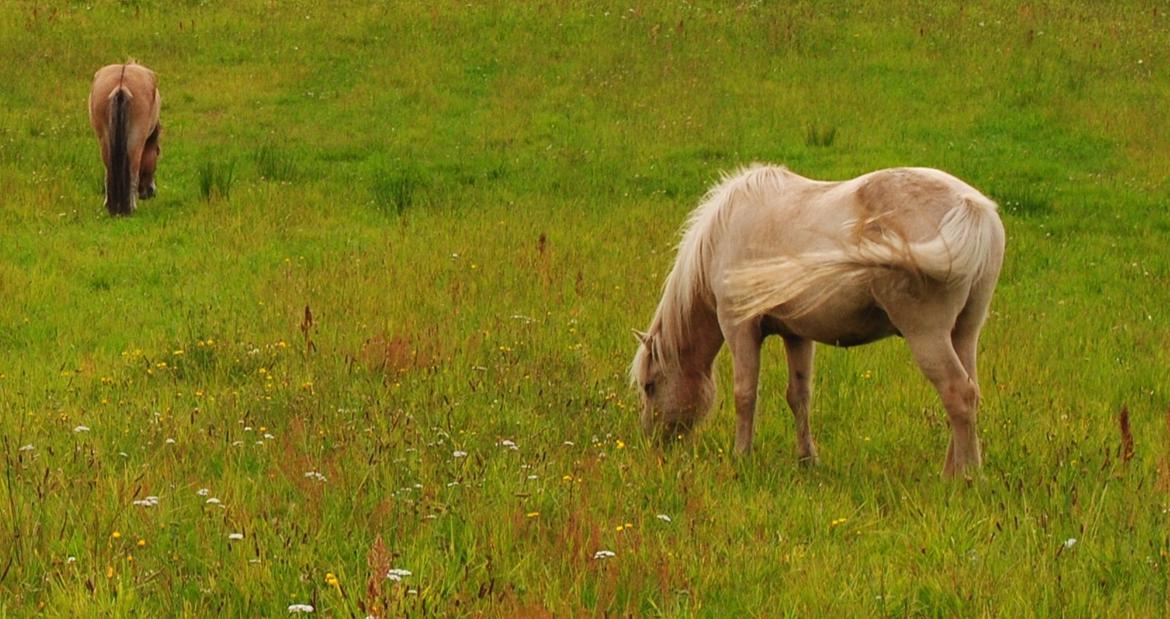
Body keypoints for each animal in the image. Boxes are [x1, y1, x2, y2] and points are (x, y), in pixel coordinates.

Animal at [88, 60, 161, 215]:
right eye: (157, 152)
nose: (151, 192)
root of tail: (121, 86)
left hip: (105, 141)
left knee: (108, 170)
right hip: (135, 142)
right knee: (133, 170)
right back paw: (131, 207)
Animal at [631, 163, 1006, 477]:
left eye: (650, 386)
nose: (652, 443)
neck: (726, 229)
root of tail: (972, 207)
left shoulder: (739, 327)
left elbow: (745, 394)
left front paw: (741, 456)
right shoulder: (797, 334)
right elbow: (799, 396)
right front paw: (807, 460)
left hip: (926, 334)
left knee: (957, 393)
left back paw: (966, 477)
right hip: (964, 331)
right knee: (969, 393)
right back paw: (954, 470)